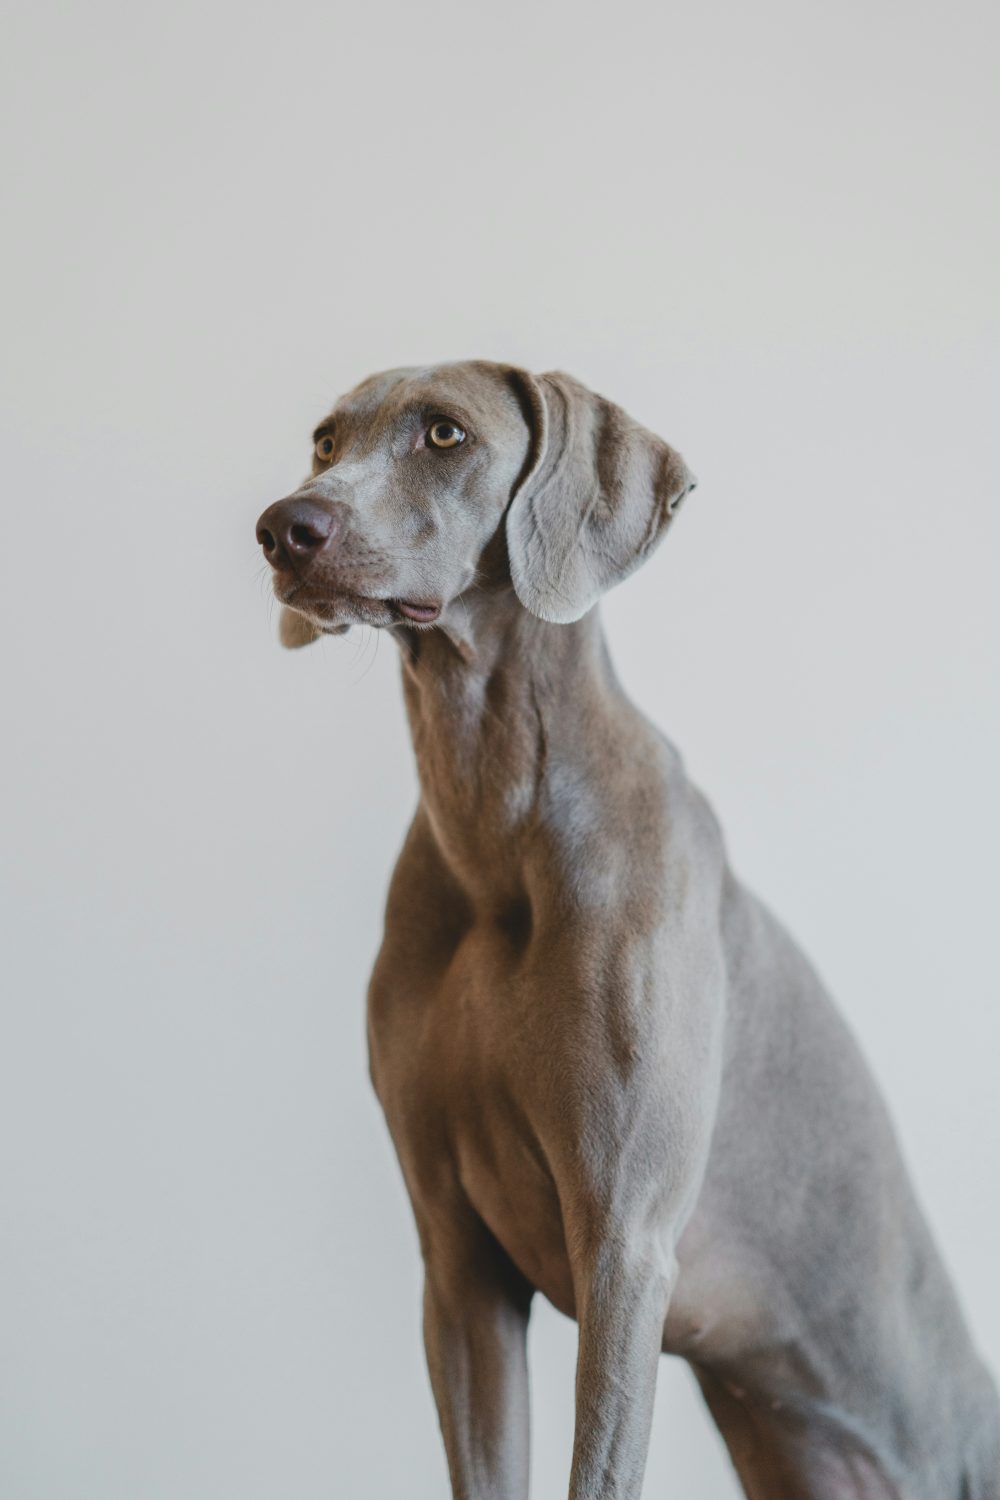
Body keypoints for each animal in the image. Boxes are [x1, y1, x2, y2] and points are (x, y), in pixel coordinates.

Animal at [256, 366, 1000, 1500]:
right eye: (324, 441)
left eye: (444, 434)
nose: (284, 527)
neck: (493, 828)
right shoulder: (457, 1263)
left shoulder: (624, 1247)